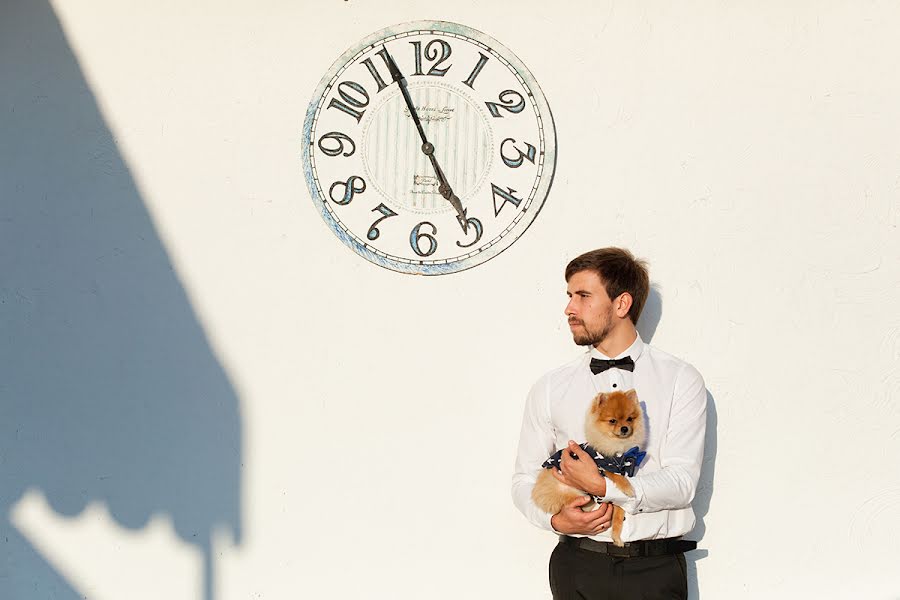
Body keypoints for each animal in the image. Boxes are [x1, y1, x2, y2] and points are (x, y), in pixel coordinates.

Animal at [532, 390, 644, 548]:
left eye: (629, 419)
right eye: (612, 421)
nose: (624, 428)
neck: (617, 449)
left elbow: (618, 514)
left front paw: (616, 537)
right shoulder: (602, 465)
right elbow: (615, 475)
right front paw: (627, 487)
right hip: (571, 492)